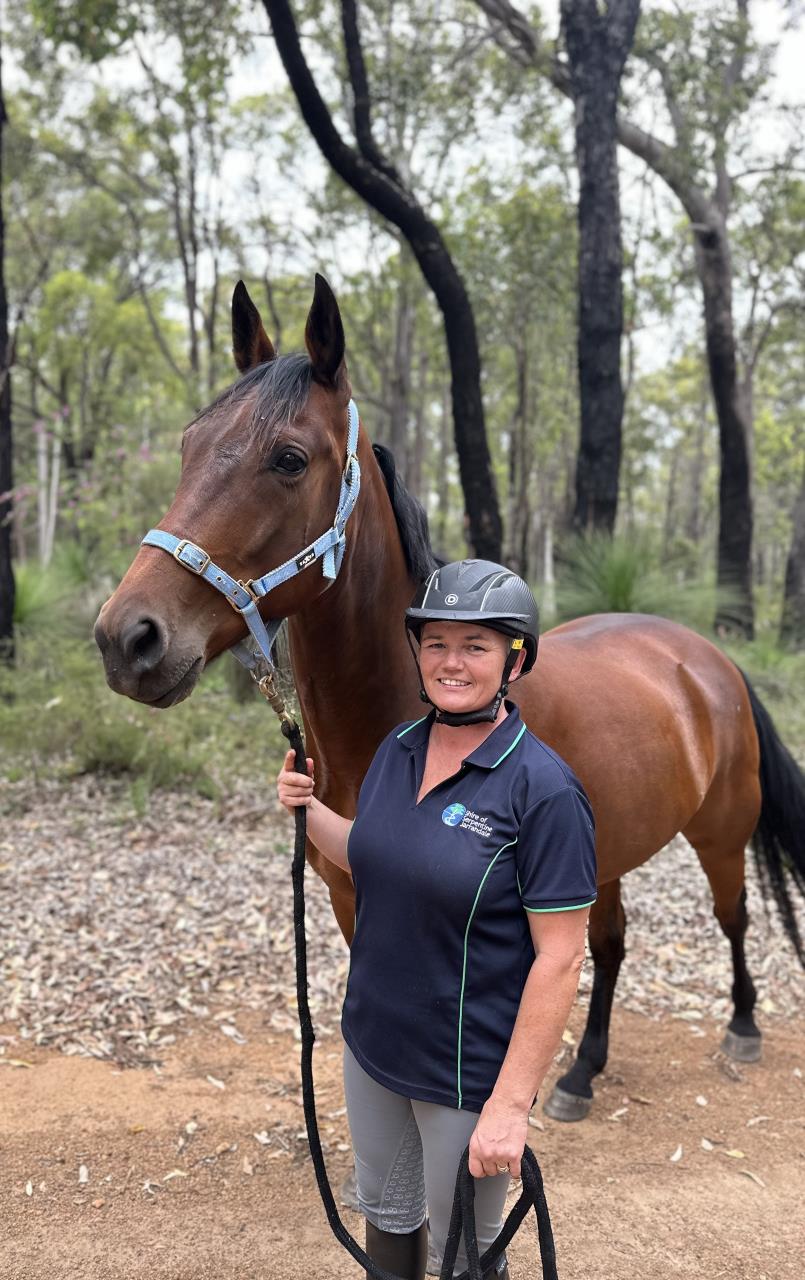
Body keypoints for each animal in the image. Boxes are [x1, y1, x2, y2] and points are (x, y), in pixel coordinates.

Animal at [95, 277, 803, 1121]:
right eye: (188, 448)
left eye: (289, 459)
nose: (127, 638)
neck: (403, 722)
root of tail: (705, 657)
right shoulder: (352, 901)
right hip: (605, 859)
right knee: (610, 944)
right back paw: (580, 1072)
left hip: (721, 832)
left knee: (733, 916)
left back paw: (740, 1028)